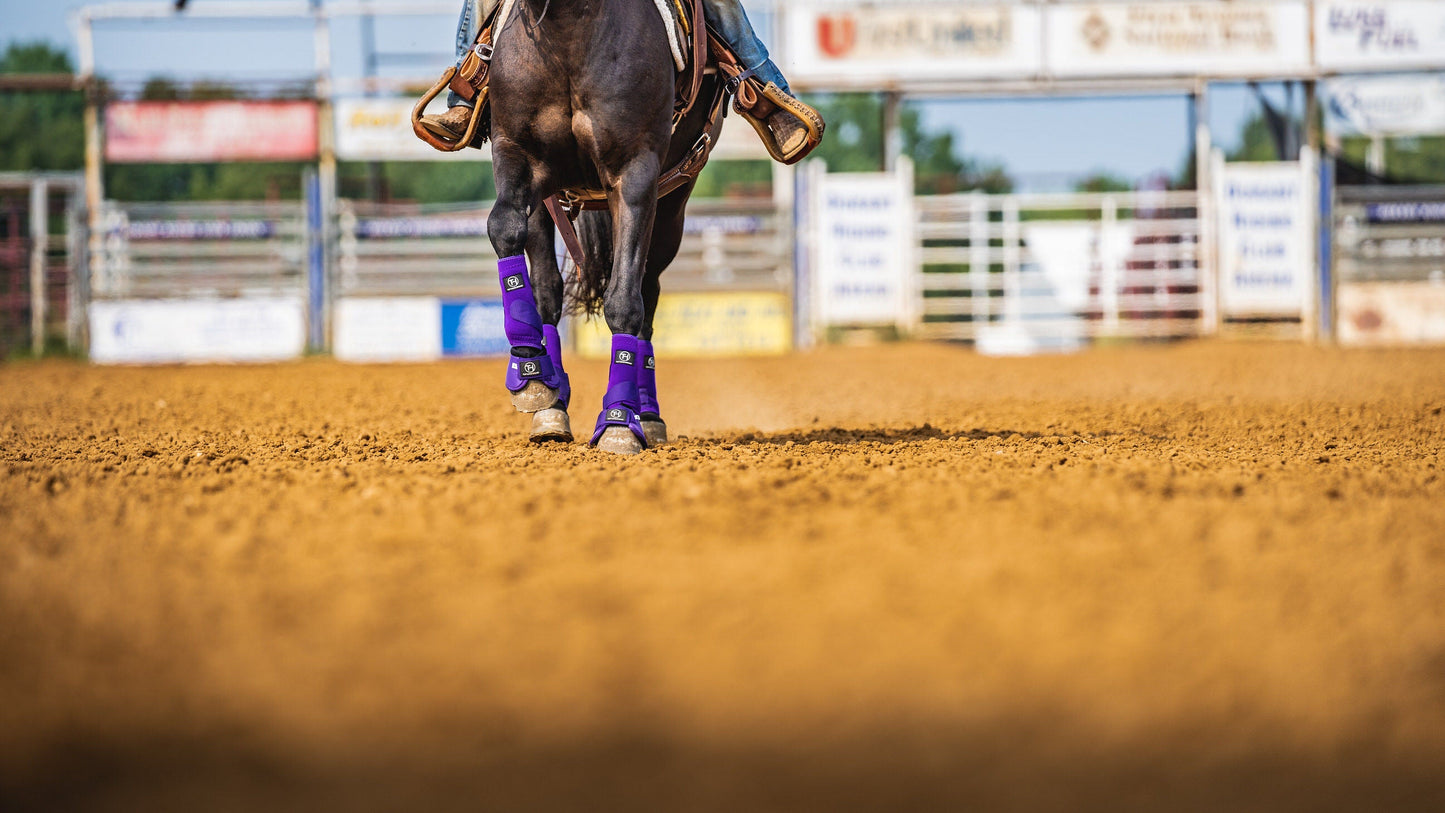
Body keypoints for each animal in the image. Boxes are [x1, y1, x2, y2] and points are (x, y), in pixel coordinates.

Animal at [488, 0, 719, 459]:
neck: (568, 33)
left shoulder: (636, 173)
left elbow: (625, 303)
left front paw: (618, 422)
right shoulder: (519, 153)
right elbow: (503, 228)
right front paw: (531, 372)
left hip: (670, 208)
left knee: (646, 294)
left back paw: (645, 415)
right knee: (547, 287)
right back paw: (552, 403)